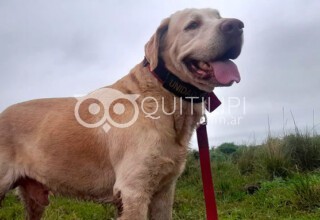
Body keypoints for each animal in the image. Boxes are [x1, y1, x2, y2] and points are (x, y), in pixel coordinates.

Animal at [0, 7, 244, 219]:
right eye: (192, 25)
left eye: (218, 16)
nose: (237, 26)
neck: (162, 96)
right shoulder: (134, 190)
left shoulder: (165, 191)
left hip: (34, 200)